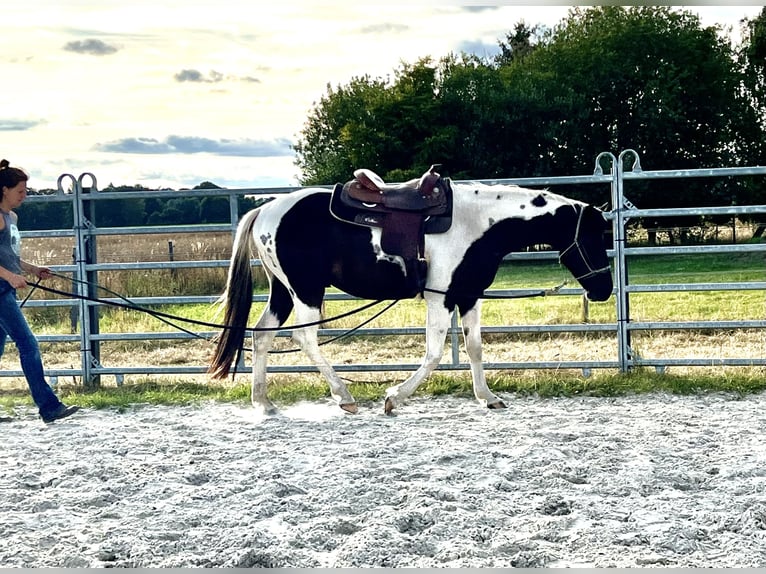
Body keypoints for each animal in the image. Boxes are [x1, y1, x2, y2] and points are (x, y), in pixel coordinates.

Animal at [209, 170, 613, 415]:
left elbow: (475, 348)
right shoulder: (441, 297)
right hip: (306, 290)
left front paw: (488, 398)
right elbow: (434, 353)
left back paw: (263, 402)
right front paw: (393, 398)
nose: (604, 289)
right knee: (305, 338)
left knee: (261, 335)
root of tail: (264, 211)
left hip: (283, 290)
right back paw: (344, 397)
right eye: (593, 237)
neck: (478, 223)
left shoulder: (469, 296)